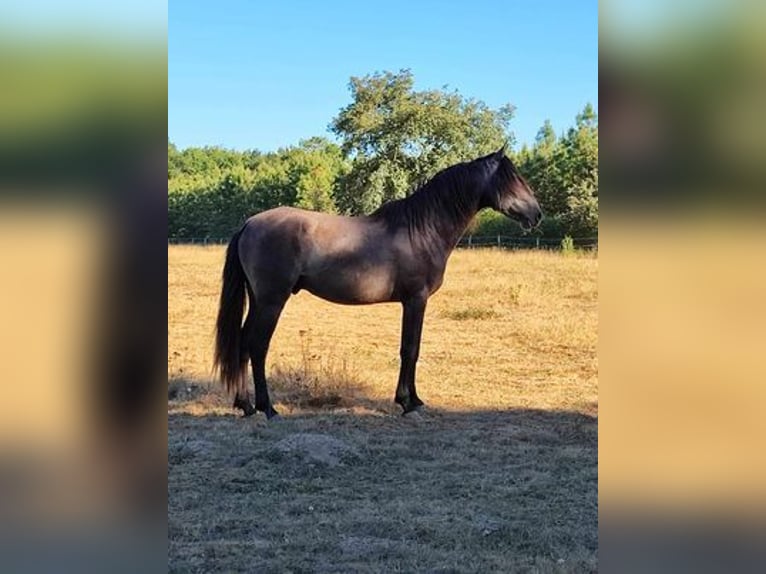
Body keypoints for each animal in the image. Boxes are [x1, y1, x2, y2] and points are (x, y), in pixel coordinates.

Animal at [213, 146, 544, 420]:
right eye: (513, 179)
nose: (537, 214)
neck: (421, 230)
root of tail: (249, 223)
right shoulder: (416, 299)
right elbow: (410, 348)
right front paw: (408, 403)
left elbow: (411, 348)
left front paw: (414, 399)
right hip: (272, 300)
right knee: (258, 345)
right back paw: (267, 408)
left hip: (258, 300)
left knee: (243, 342)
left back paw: (245, 405)